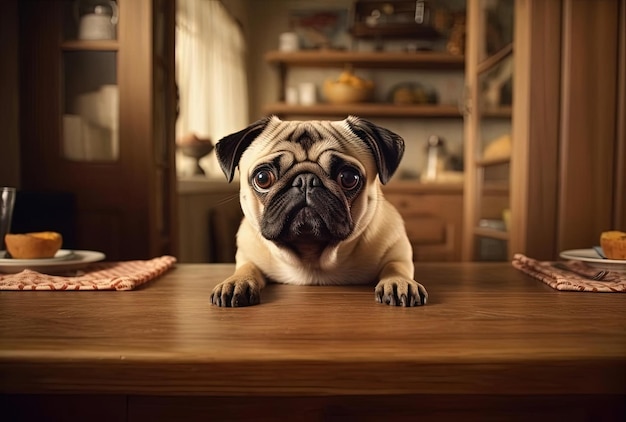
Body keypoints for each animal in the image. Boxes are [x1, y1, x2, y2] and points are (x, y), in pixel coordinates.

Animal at [207, 115, 426, 306]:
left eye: (348, 177)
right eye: (262, 178)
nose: (305, 180)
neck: (312, 259)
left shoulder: (397, 252)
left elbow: (396, 266)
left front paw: (399, 282)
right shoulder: (248, 255)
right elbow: (247, 267)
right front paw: (237, 282)